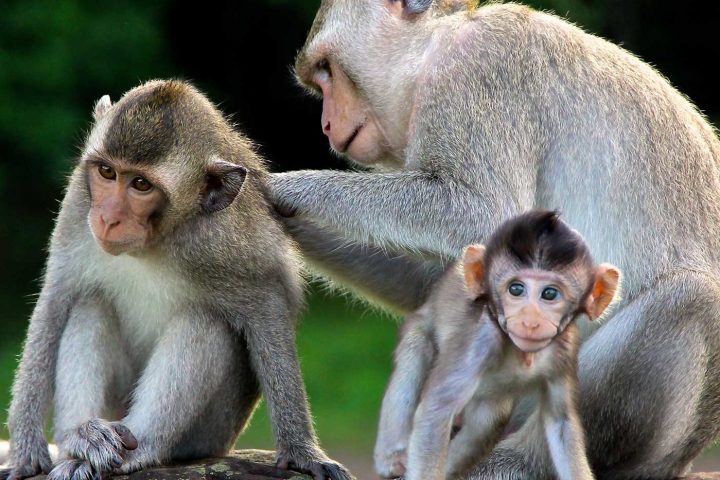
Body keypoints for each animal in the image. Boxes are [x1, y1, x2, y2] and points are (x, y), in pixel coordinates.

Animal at [0, 80, 352, 480]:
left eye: (140, 184)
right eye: (107, 172)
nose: (107, 218)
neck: (155, 242)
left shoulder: (232, 242)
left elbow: (267, 310)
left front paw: (301, 450)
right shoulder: (77, 206)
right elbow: (56, 301)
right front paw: (26, 454)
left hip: (211, 434)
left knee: (206, 321)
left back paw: (139, 449)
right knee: (90, 303)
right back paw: (82, 443)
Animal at [375, 210, 621, 480]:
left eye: (550, 294)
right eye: (516, 289)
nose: (530, 321)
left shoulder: (564, 349)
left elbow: (562, 423)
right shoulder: (480, 341)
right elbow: (435, 412)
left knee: (489, 419)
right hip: (421, 327)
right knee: (418, 349)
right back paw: (392, 459)